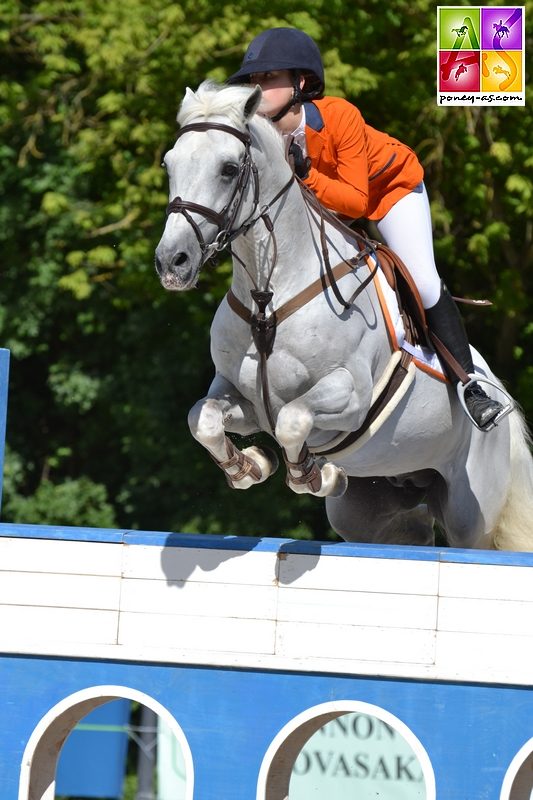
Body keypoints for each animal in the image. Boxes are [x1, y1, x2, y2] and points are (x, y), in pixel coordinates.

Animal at [155, 79, 532, 552]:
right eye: (169, 164)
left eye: (227, 168)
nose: (172, 262)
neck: (268, 296)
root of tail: (497, 390)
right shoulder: (243, 398)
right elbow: (201, 419)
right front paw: (252, 466)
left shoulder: (349, 396)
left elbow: (294, 420)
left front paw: (313, 475)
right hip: (376, 515)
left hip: (472, 516)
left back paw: (480, 405)